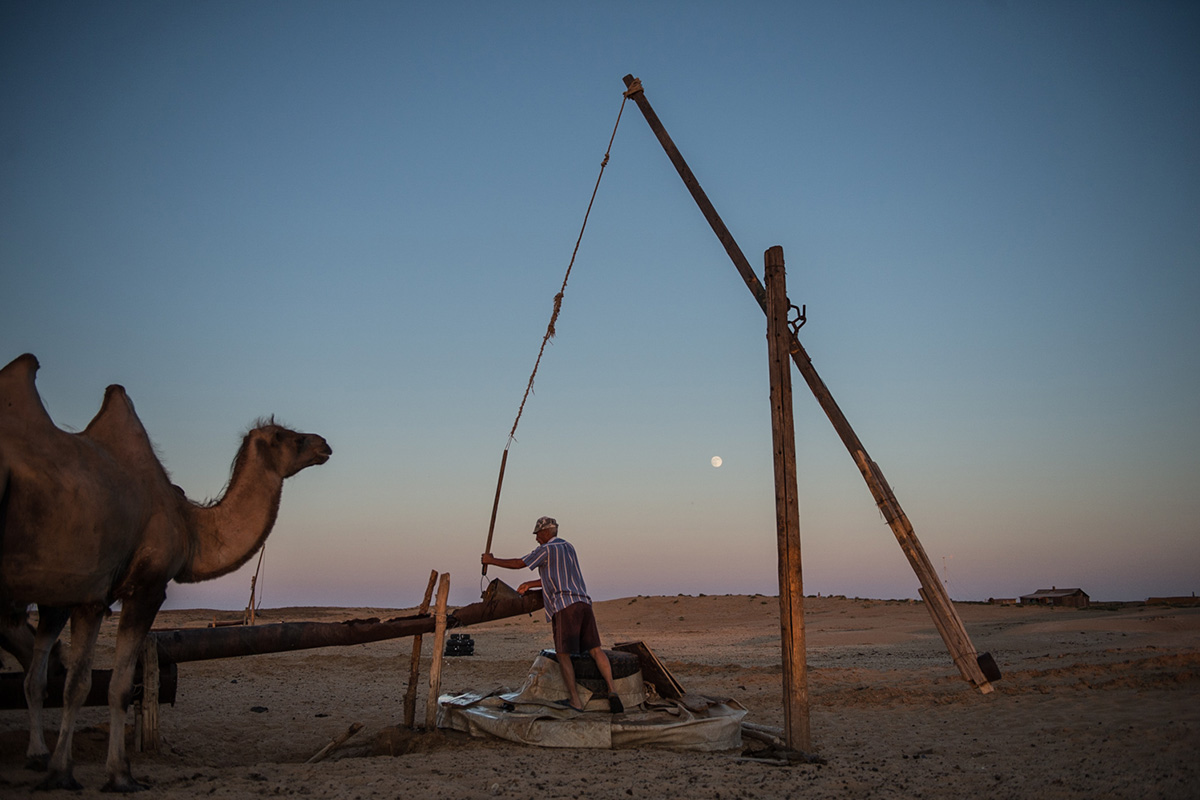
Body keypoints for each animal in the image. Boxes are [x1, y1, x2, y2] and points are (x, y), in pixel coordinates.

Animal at [1, 352, 333, 791]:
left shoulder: (90, 596)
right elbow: (118, 686)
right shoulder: (146, 586)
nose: (324, 444)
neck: (189, 525)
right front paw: (120, 774)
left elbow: (75, 685)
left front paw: (60, 771)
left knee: (36, 675)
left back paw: (36, 755)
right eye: (289, 436)